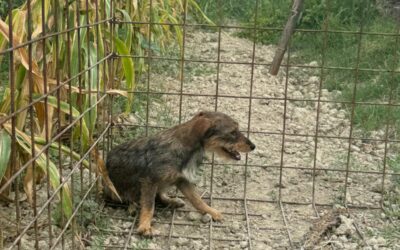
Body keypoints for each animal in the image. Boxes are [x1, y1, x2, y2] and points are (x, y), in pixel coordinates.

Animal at [105, 111, 256, 236]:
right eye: (233, 132)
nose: (253, 146)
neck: (186, 147)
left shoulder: (182, 180)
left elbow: (197, 199)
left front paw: (210, 211)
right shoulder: (149, 181)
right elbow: (149, 206)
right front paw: (145, 227)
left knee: (160, 195)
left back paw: (172, 201)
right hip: (116, 191)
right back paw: (133, 206)